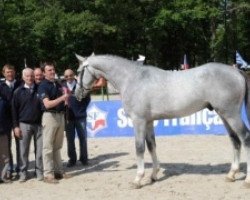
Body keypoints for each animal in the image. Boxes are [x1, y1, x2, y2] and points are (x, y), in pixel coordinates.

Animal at [74, 54, 250, 188]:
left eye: (78, 71)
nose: (76, 94)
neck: (132, 79)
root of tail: (237, 72)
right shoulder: (149, 122)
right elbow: (151, 145)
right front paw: (153, 175)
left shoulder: (138, 121)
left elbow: (139, 148)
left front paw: (138, 179)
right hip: (224, 115)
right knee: (235, 141)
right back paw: (231, 174)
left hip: (231, 115)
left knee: (245, 138)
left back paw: (247, 180)